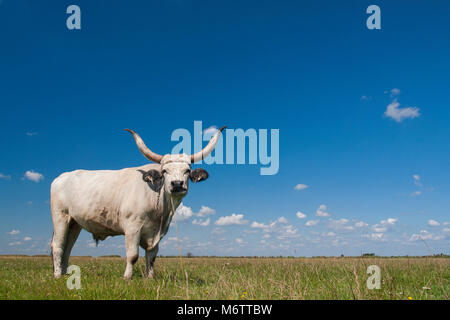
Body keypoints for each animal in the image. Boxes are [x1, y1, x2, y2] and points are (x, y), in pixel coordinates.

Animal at [50, 126, 225, 278]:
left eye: (187, 171)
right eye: (164, 171)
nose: (176, 184)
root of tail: (61, 177)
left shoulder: (157, 233)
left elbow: (152, 256)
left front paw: (150, 278)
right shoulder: (132, 227)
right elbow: (133, 255)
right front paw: (127, 277)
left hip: (74, 223)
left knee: (67, 247)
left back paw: (65, 273)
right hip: (60, 217)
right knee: (58, 246)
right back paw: (57, 275)